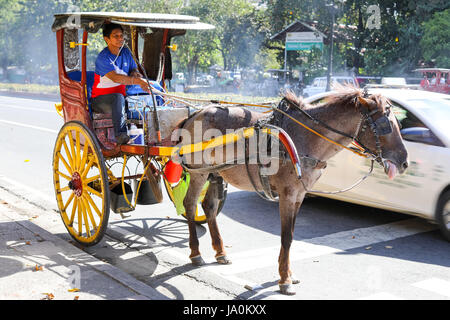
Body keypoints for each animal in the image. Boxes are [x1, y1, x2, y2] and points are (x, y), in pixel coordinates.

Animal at [174, 87, 410, 296]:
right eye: (386, 125)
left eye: (399, 123)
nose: (404, 162)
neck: (306, 138)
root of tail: (195, 113)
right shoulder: (287, 194)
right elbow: (286, 237)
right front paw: (284, 280)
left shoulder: (299, 196)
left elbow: (292, 235)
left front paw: (287, 273)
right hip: (198, 172)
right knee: (189, 203)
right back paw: (195, 253)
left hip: (215, 172)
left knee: (209, 207)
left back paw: (220, 252)